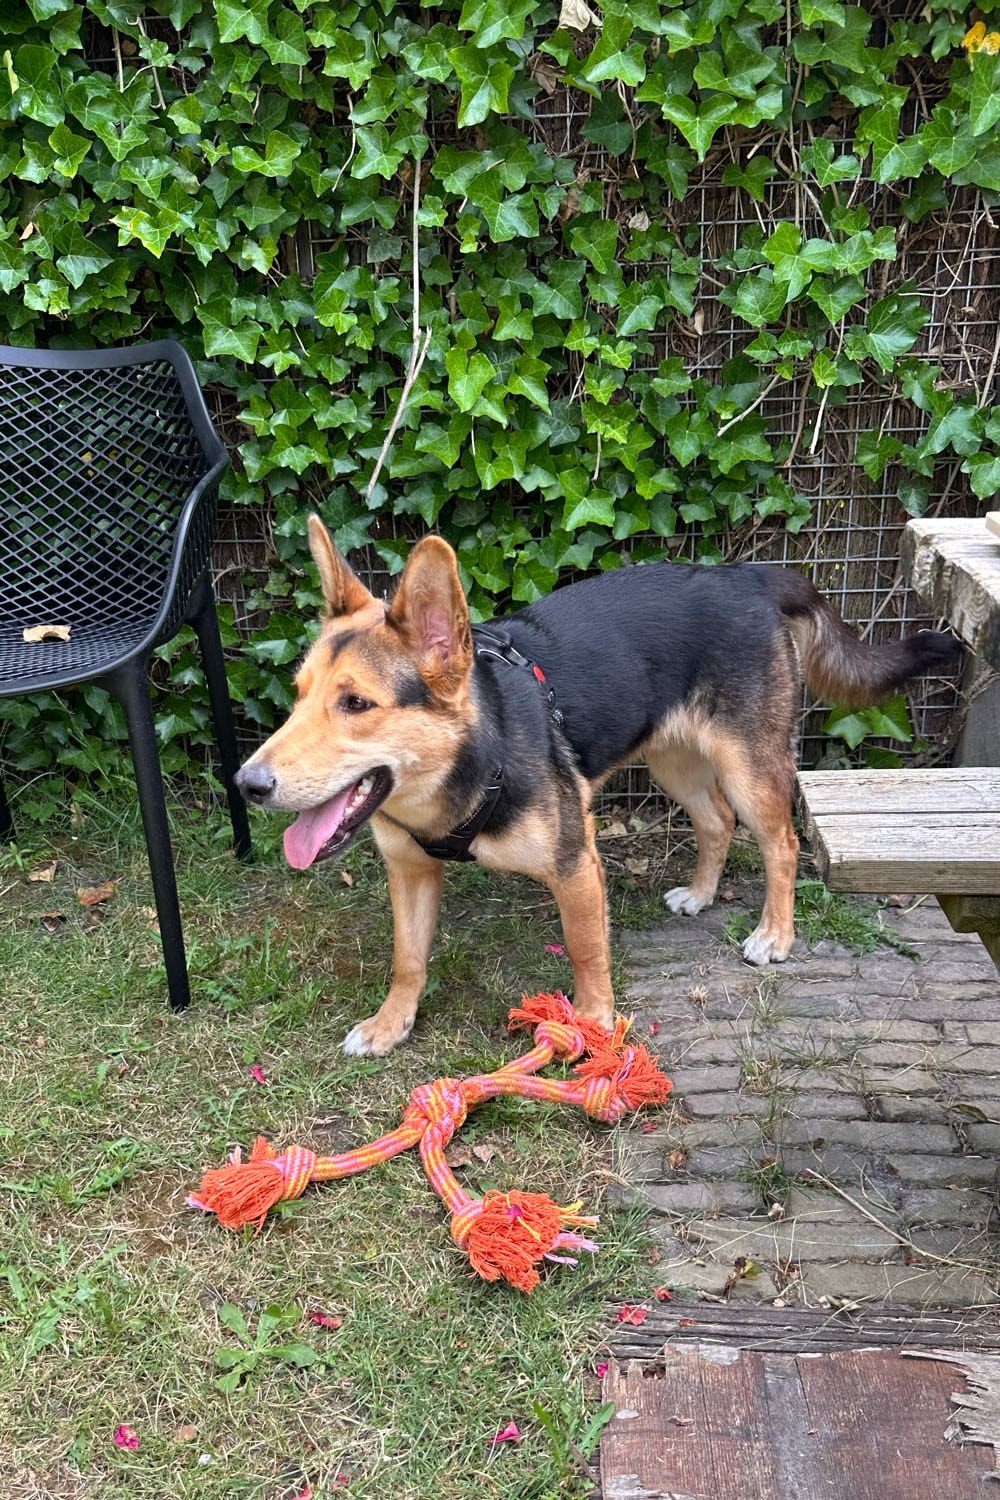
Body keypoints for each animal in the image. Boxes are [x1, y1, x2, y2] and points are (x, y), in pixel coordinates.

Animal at [235, 516, 963, 1057]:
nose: (248, 783)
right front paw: (392, 1023)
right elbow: (407, 958)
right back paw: (701, 895)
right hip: (675, 761)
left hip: (748, 768)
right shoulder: (410, 872)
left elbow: (587, 951)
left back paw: (775, 936)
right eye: (297, 697)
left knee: (780, 843)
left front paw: (590, 1022)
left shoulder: (575, 867)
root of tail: (745, 574)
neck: (467, 764)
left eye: (356, 704)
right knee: (716, 823)